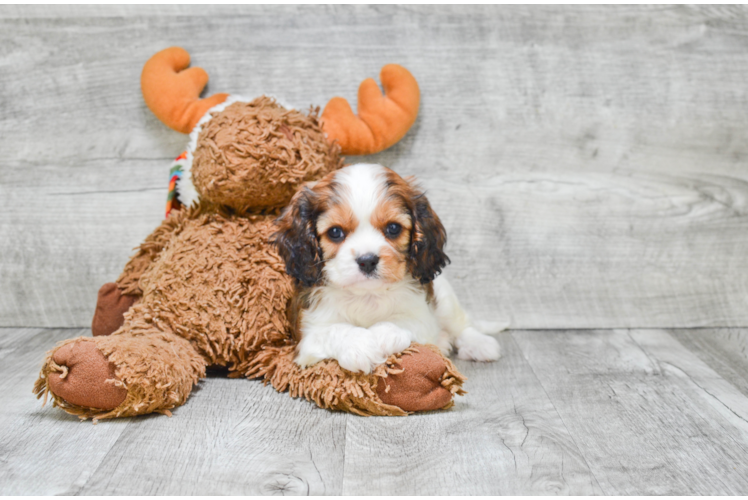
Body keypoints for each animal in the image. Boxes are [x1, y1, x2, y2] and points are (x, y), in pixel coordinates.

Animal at [274, 162, 502, 374]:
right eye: (335, 232)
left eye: (393, 228)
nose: (367, 260)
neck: (367, 295)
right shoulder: (308, 336)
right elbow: (334, 330)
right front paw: (359, 346)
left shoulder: (422, 317)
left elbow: (402, 321)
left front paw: (379, 335)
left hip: (445, 297)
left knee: (461, 324)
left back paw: (479, 344)